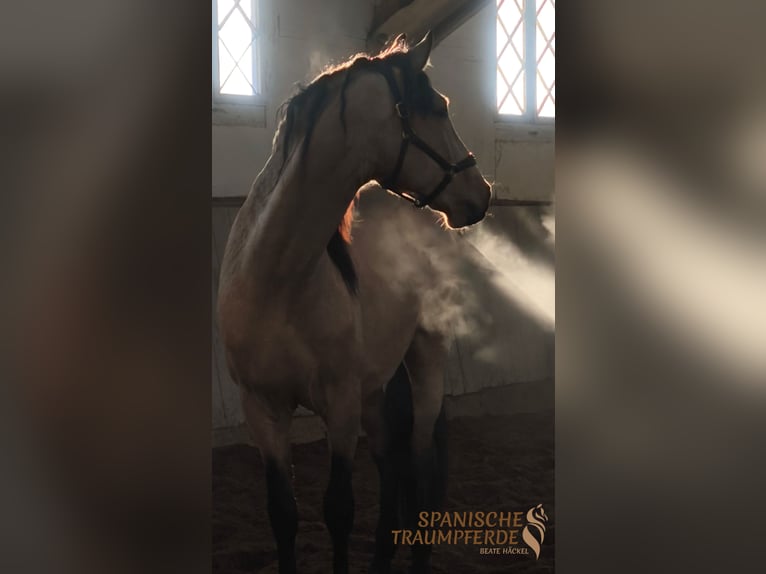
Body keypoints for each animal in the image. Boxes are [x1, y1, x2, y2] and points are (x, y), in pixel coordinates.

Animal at [217, 32, 491, 574]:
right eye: (439, 108)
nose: (482, 194)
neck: (278, 279)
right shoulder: (262, 409)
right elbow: (283, 513)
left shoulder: (339, 405)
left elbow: (339, 510)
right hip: (374, 390)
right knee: (391, 467)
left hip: (423, 362)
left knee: (418, 464)